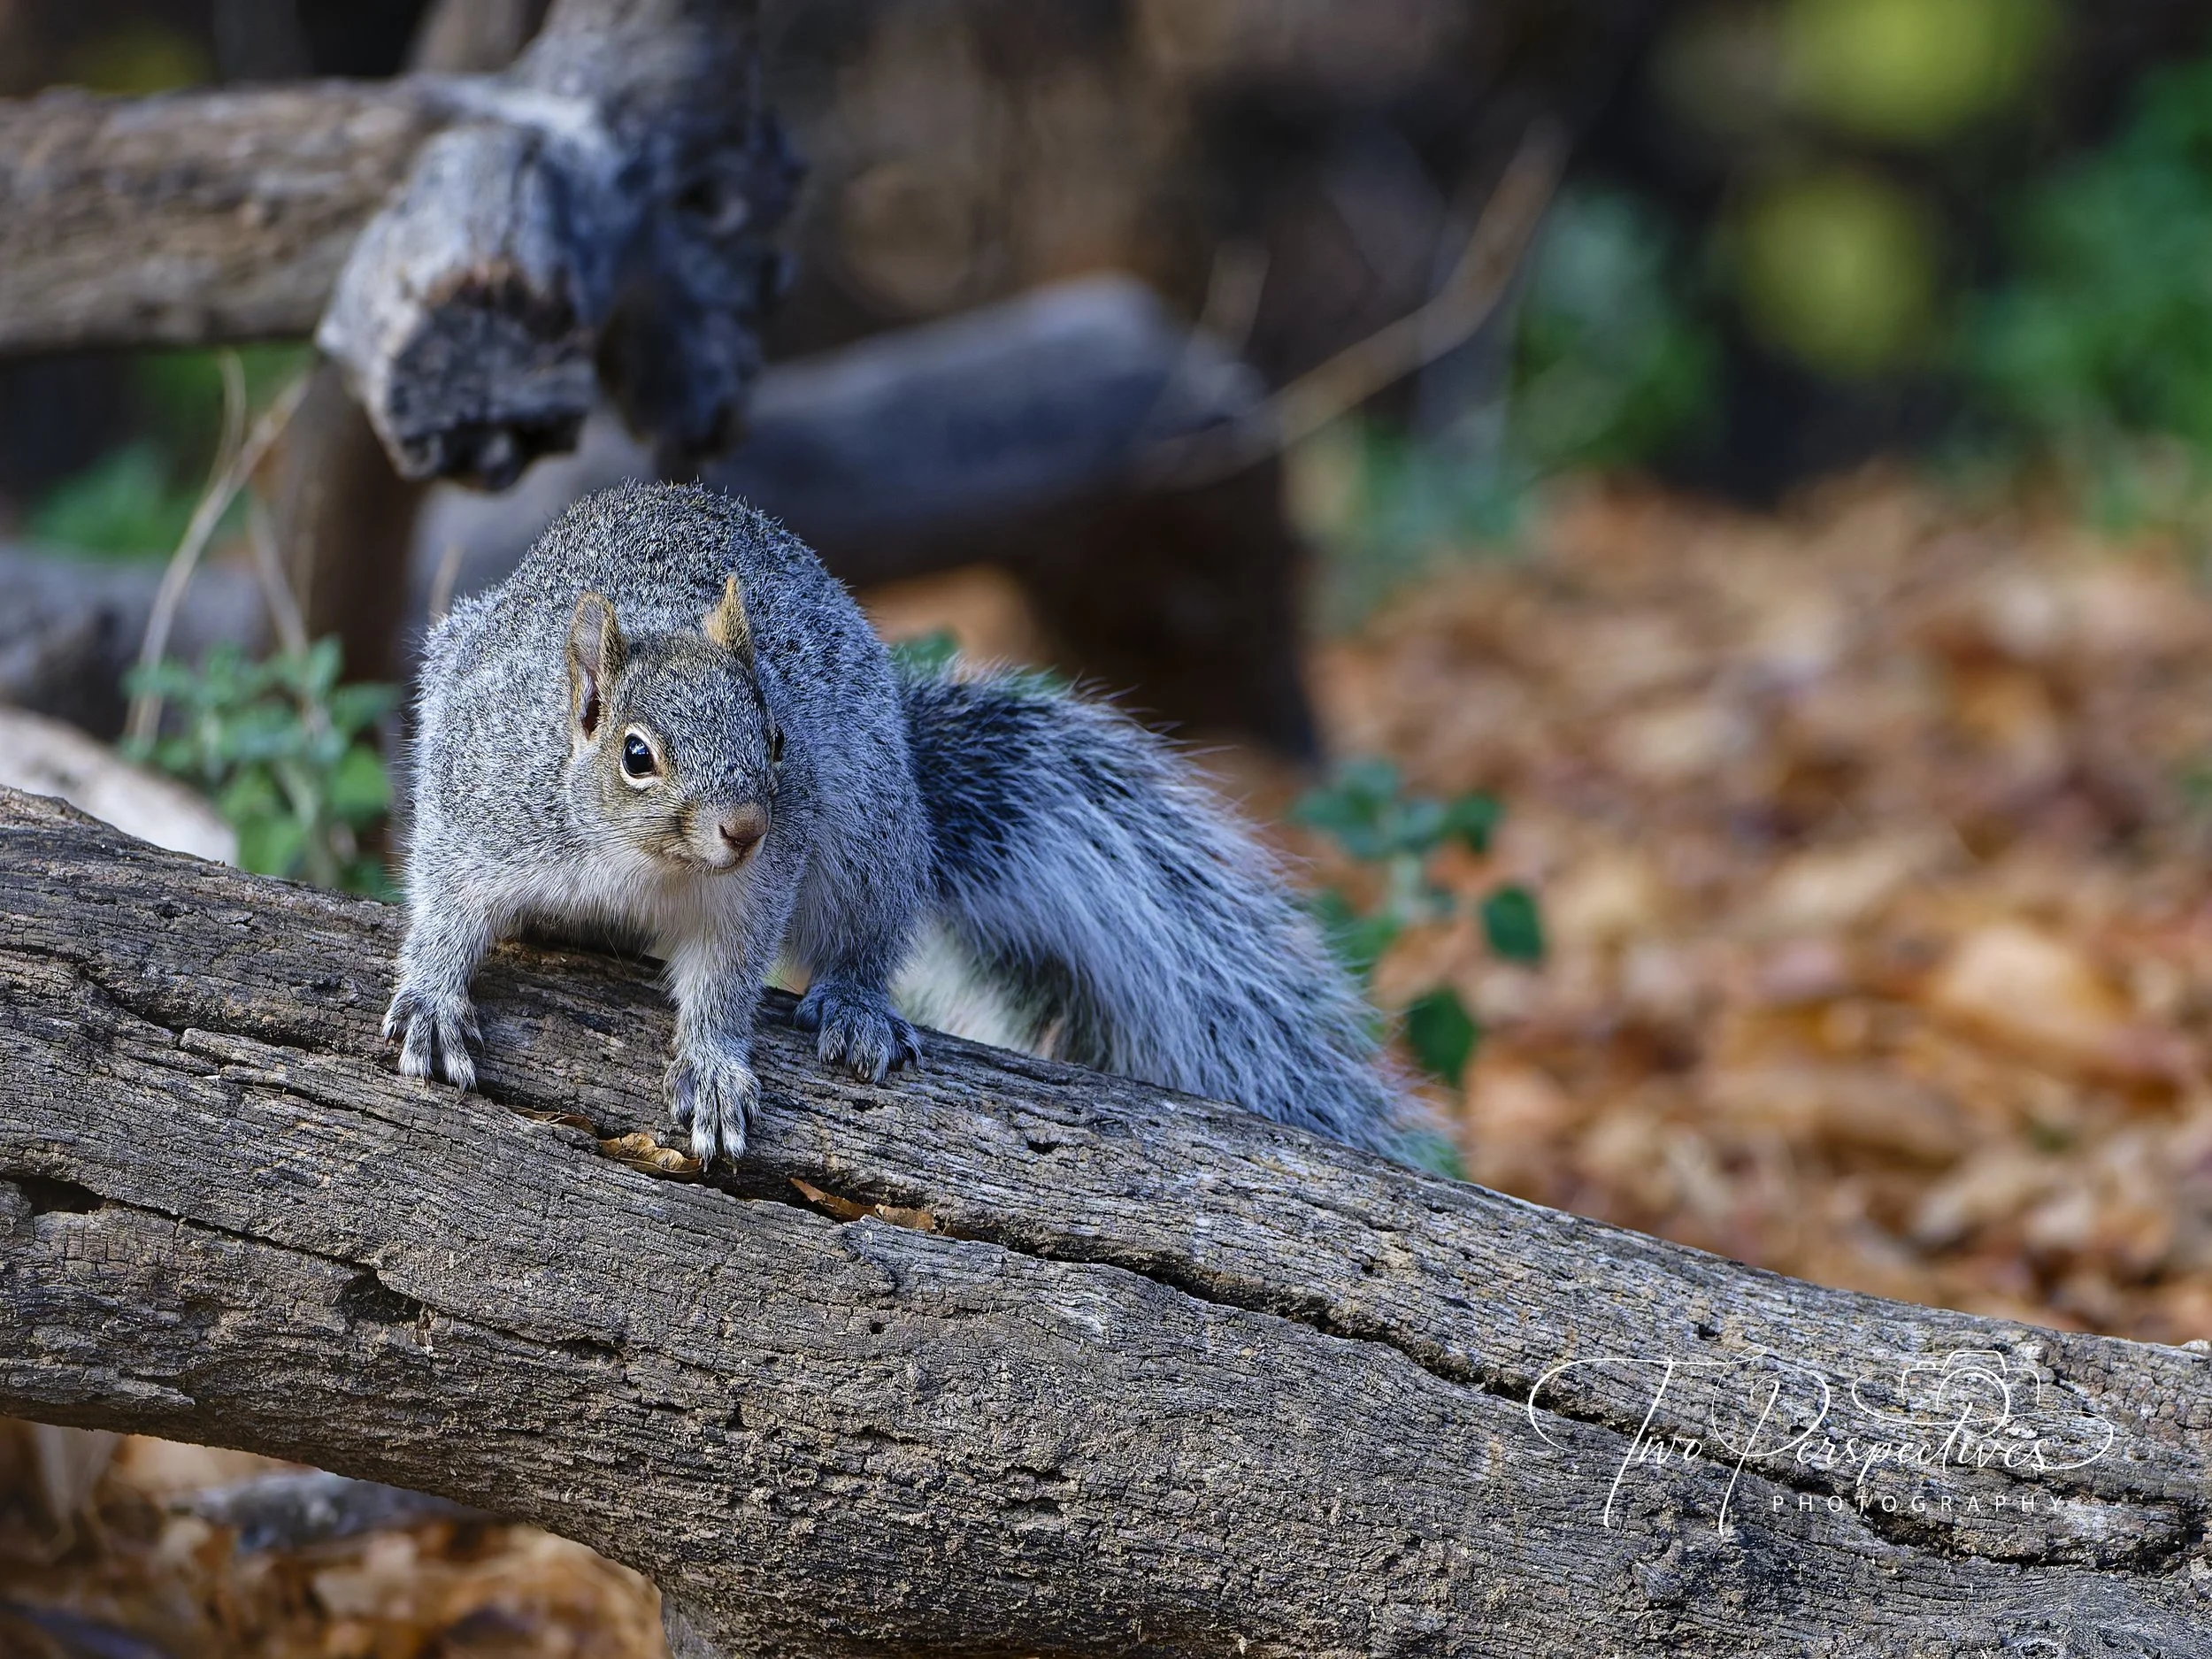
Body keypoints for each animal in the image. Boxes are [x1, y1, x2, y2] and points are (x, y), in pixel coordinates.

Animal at [385, 481, 1405, 1160]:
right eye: (637, 756)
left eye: (777, 736)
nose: (745, 829)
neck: (640, 863)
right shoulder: (480, 798)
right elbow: (445, 901)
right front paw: (434, 1000)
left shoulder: (754, 891)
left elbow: (726, 981)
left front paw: (712, 1066)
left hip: (866, 836)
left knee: (866, 934)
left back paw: (855, 1005)